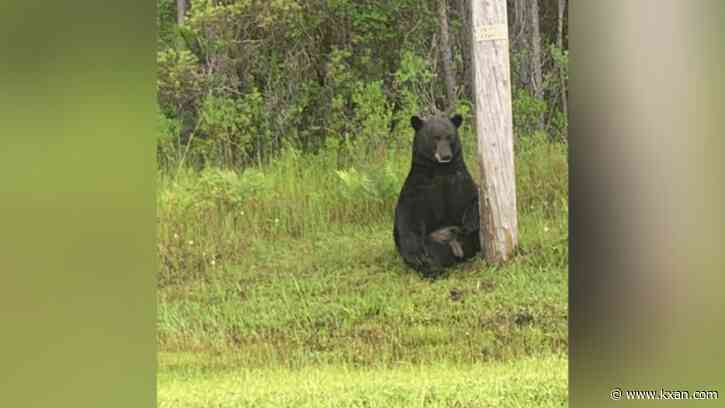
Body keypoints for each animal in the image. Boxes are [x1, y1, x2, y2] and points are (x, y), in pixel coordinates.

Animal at [393, 113, 481, 276]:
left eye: (449, 136)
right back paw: (431, 268)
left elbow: (474, 198)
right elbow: (407, 218)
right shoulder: (419, 188)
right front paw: (417, 257)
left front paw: (470, 222)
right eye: (435, 137)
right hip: (433, 241)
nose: (445, 155)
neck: (440, 170)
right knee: (431, 253)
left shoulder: (460, 181)